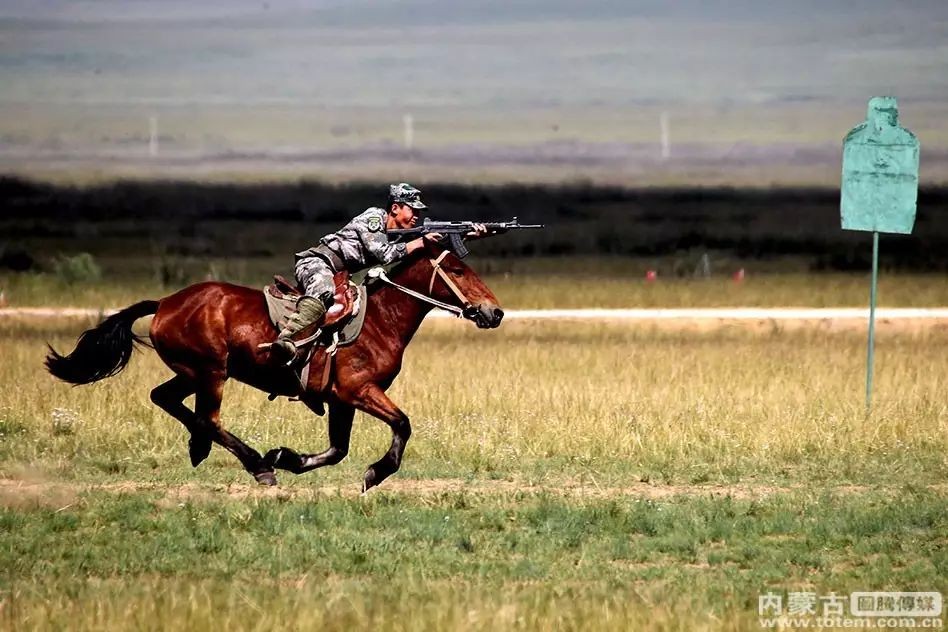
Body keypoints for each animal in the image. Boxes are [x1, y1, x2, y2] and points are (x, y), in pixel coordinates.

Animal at [44, 242, 504, 488]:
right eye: (458, 268)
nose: (494, 312)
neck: (379, 320)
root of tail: (165, 304)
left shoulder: (340, 400)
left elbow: (337, 449)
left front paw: (289, 457)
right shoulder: (359, 391)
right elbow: (402, 424)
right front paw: (376, 472)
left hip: (192, 373)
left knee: (165, 398)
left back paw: (204, 449)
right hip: (211, 373)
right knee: (207, 417)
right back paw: (257, 466)